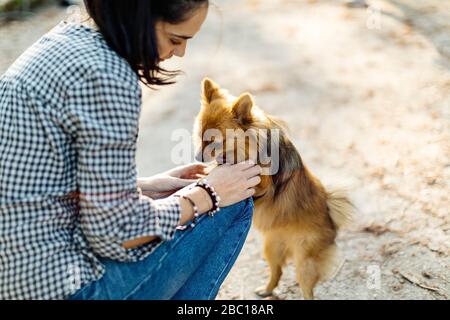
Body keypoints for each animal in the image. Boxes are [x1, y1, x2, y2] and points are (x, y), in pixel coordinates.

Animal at [193, 79, 356, 298]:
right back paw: (266, 290)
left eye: (214, 142)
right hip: (272, 248)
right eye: (200, 136)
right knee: (277, 272)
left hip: (304, 263)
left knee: (306, 288)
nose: (197, 157)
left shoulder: (263, 183)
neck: (247, 148)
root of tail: (331, 217)